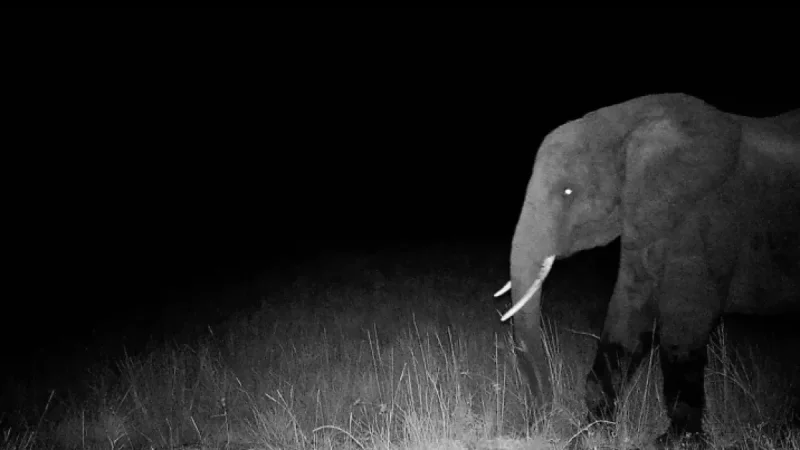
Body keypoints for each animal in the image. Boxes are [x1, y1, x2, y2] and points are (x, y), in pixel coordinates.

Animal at [493, 93, 800, 444]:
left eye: (568, 192)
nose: (532, 427)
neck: (628, 122)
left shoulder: (705, 217)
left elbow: (684, 324)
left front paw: (677, 442)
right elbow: (629, 312)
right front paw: (591, 434)